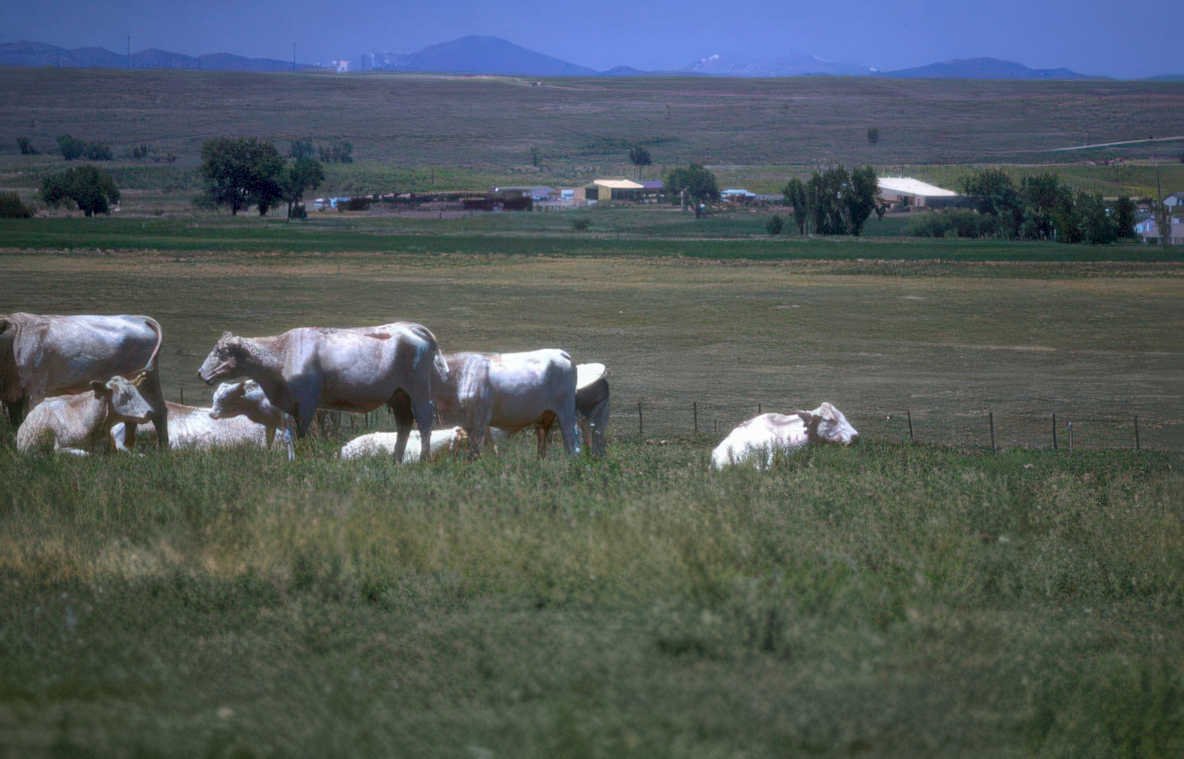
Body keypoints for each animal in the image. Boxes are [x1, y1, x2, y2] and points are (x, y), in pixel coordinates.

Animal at [197, 323, 444, 463]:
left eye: (220, 352)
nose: (200, 373)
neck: (282, 354)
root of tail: (412, 327)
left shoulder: (306, 403)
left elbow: (301, 434)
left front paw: (301, 459)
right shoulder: (287, 406)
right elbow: (287, 436)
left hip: (418, 390)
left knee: (424, 420)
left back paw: (423, 459)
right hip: (398, 395)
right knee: (404, 424)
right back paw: (396, 459)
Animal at [433, 349, 581, 458]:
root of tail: (560, 352)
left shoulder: (479, 422)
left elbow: (475, 453)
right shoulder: (468, 424)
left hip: (566, 411)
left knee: (571, 445)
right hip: (544, 417)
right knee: (542, 444)